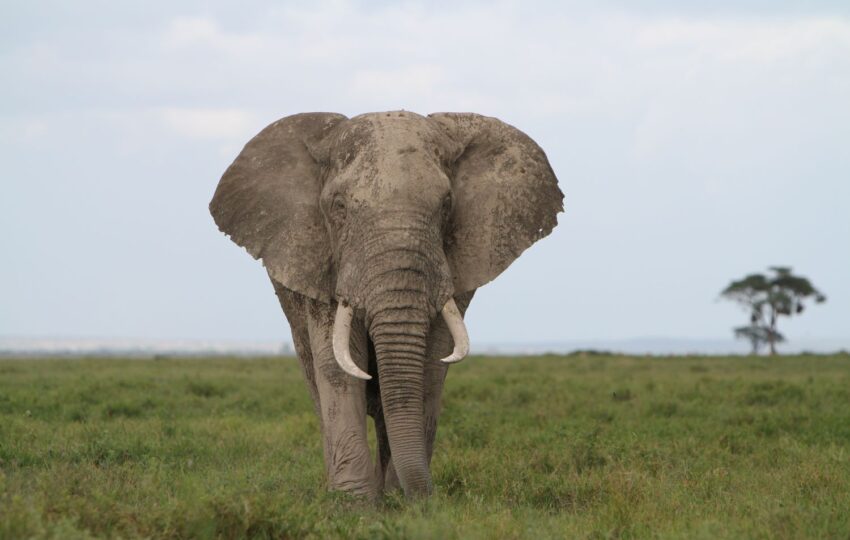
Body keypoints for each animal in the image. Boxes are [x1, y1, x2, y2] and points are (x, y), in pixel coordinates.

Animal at [209, 111, 562, 500]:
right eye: (339, 207)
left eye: (446, 205)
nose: (424, 498)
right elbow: (337, 364)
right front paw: (355, 503)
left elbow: (430, 366)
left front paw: (400, 501)